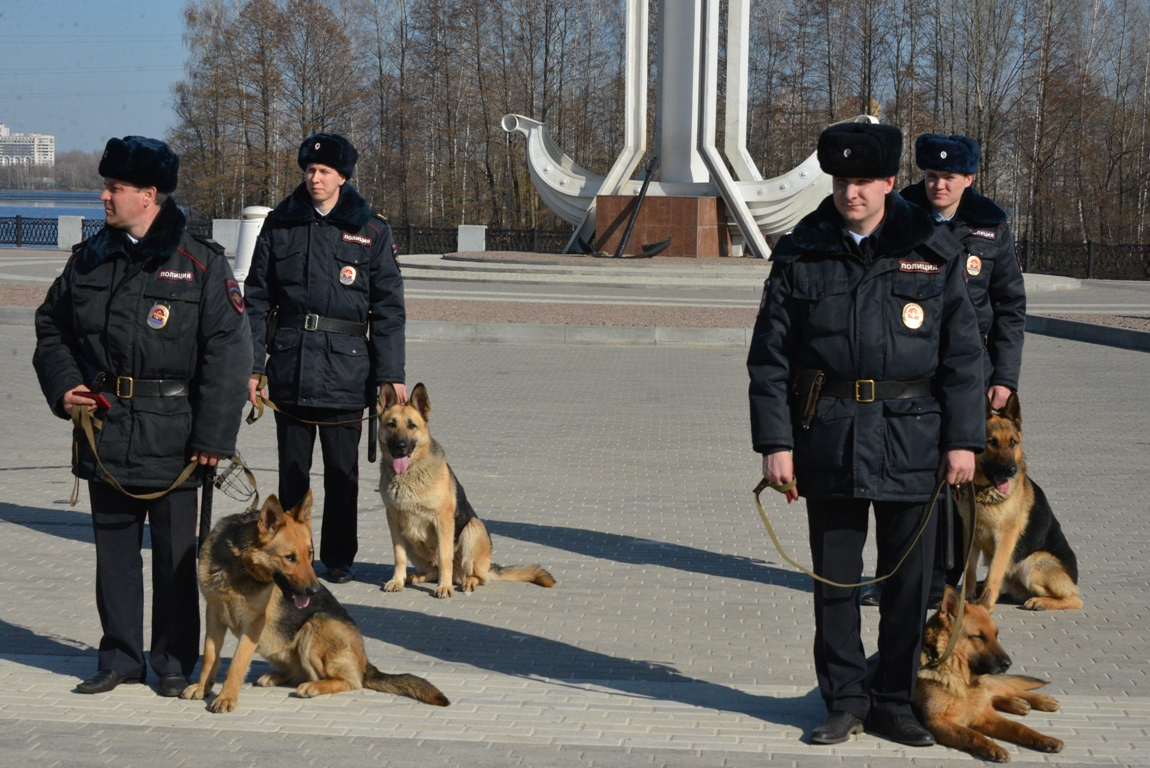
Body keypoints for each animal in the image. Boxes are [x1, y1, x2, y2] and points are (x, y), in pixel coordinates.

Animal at [180, 492, 448, 712]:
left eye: (310, 554)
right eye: (289, 558)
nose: (314, 591)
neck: (239, 566)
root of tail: (365, 663)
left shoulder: (253, 624)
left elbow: (236, 664)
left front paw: (226, 698)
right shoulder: (214, 615)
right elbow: (210, 657)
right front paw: (203, 688)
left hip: (316, 626)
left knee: (349, 681)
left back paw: (313, 686)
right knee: (301, 673)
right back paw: (277, 677)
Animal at [379, 384, 554, 597]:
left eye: (412, 425)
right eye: (391, 424)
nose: (400, 447)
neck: (409, 474)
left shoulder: (443, 521)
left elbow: (444, 558)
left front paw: (444, 588)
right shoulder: (394, 522)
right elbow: (399, 556)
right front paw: (397, 581)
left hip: (473, 528)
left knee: (475, 575)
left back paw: (466, 581)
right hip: (412, 540)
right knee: (433, 571)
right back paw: (417, 576)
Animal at [915, 588, 1067, 763]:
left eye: (996, 635)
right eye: (978, 637)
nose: (1008, 664)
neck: (959, 676)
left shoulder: (984, 715)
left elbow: (1018, 727)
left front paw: (1044, 739)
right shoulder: (938, 721)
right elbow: (972, 734)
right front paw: (993, 747)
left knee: (1007, 690)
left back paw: (1040, 700)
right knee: (995, 696)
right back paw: (1017, 704)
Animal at [961, 395, 1085, 611]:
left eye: (1013, 443)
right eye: (991, 442)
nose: (1011, 470)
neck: (984, 492)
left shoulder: (1005, 537)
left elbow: (993, 573)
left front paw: (984, 606)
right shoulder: (970, 534)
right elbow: (969, 572)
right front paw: (965, 603)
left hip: (1033, 562)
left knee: (1075, 599)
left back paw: (1040, 601)